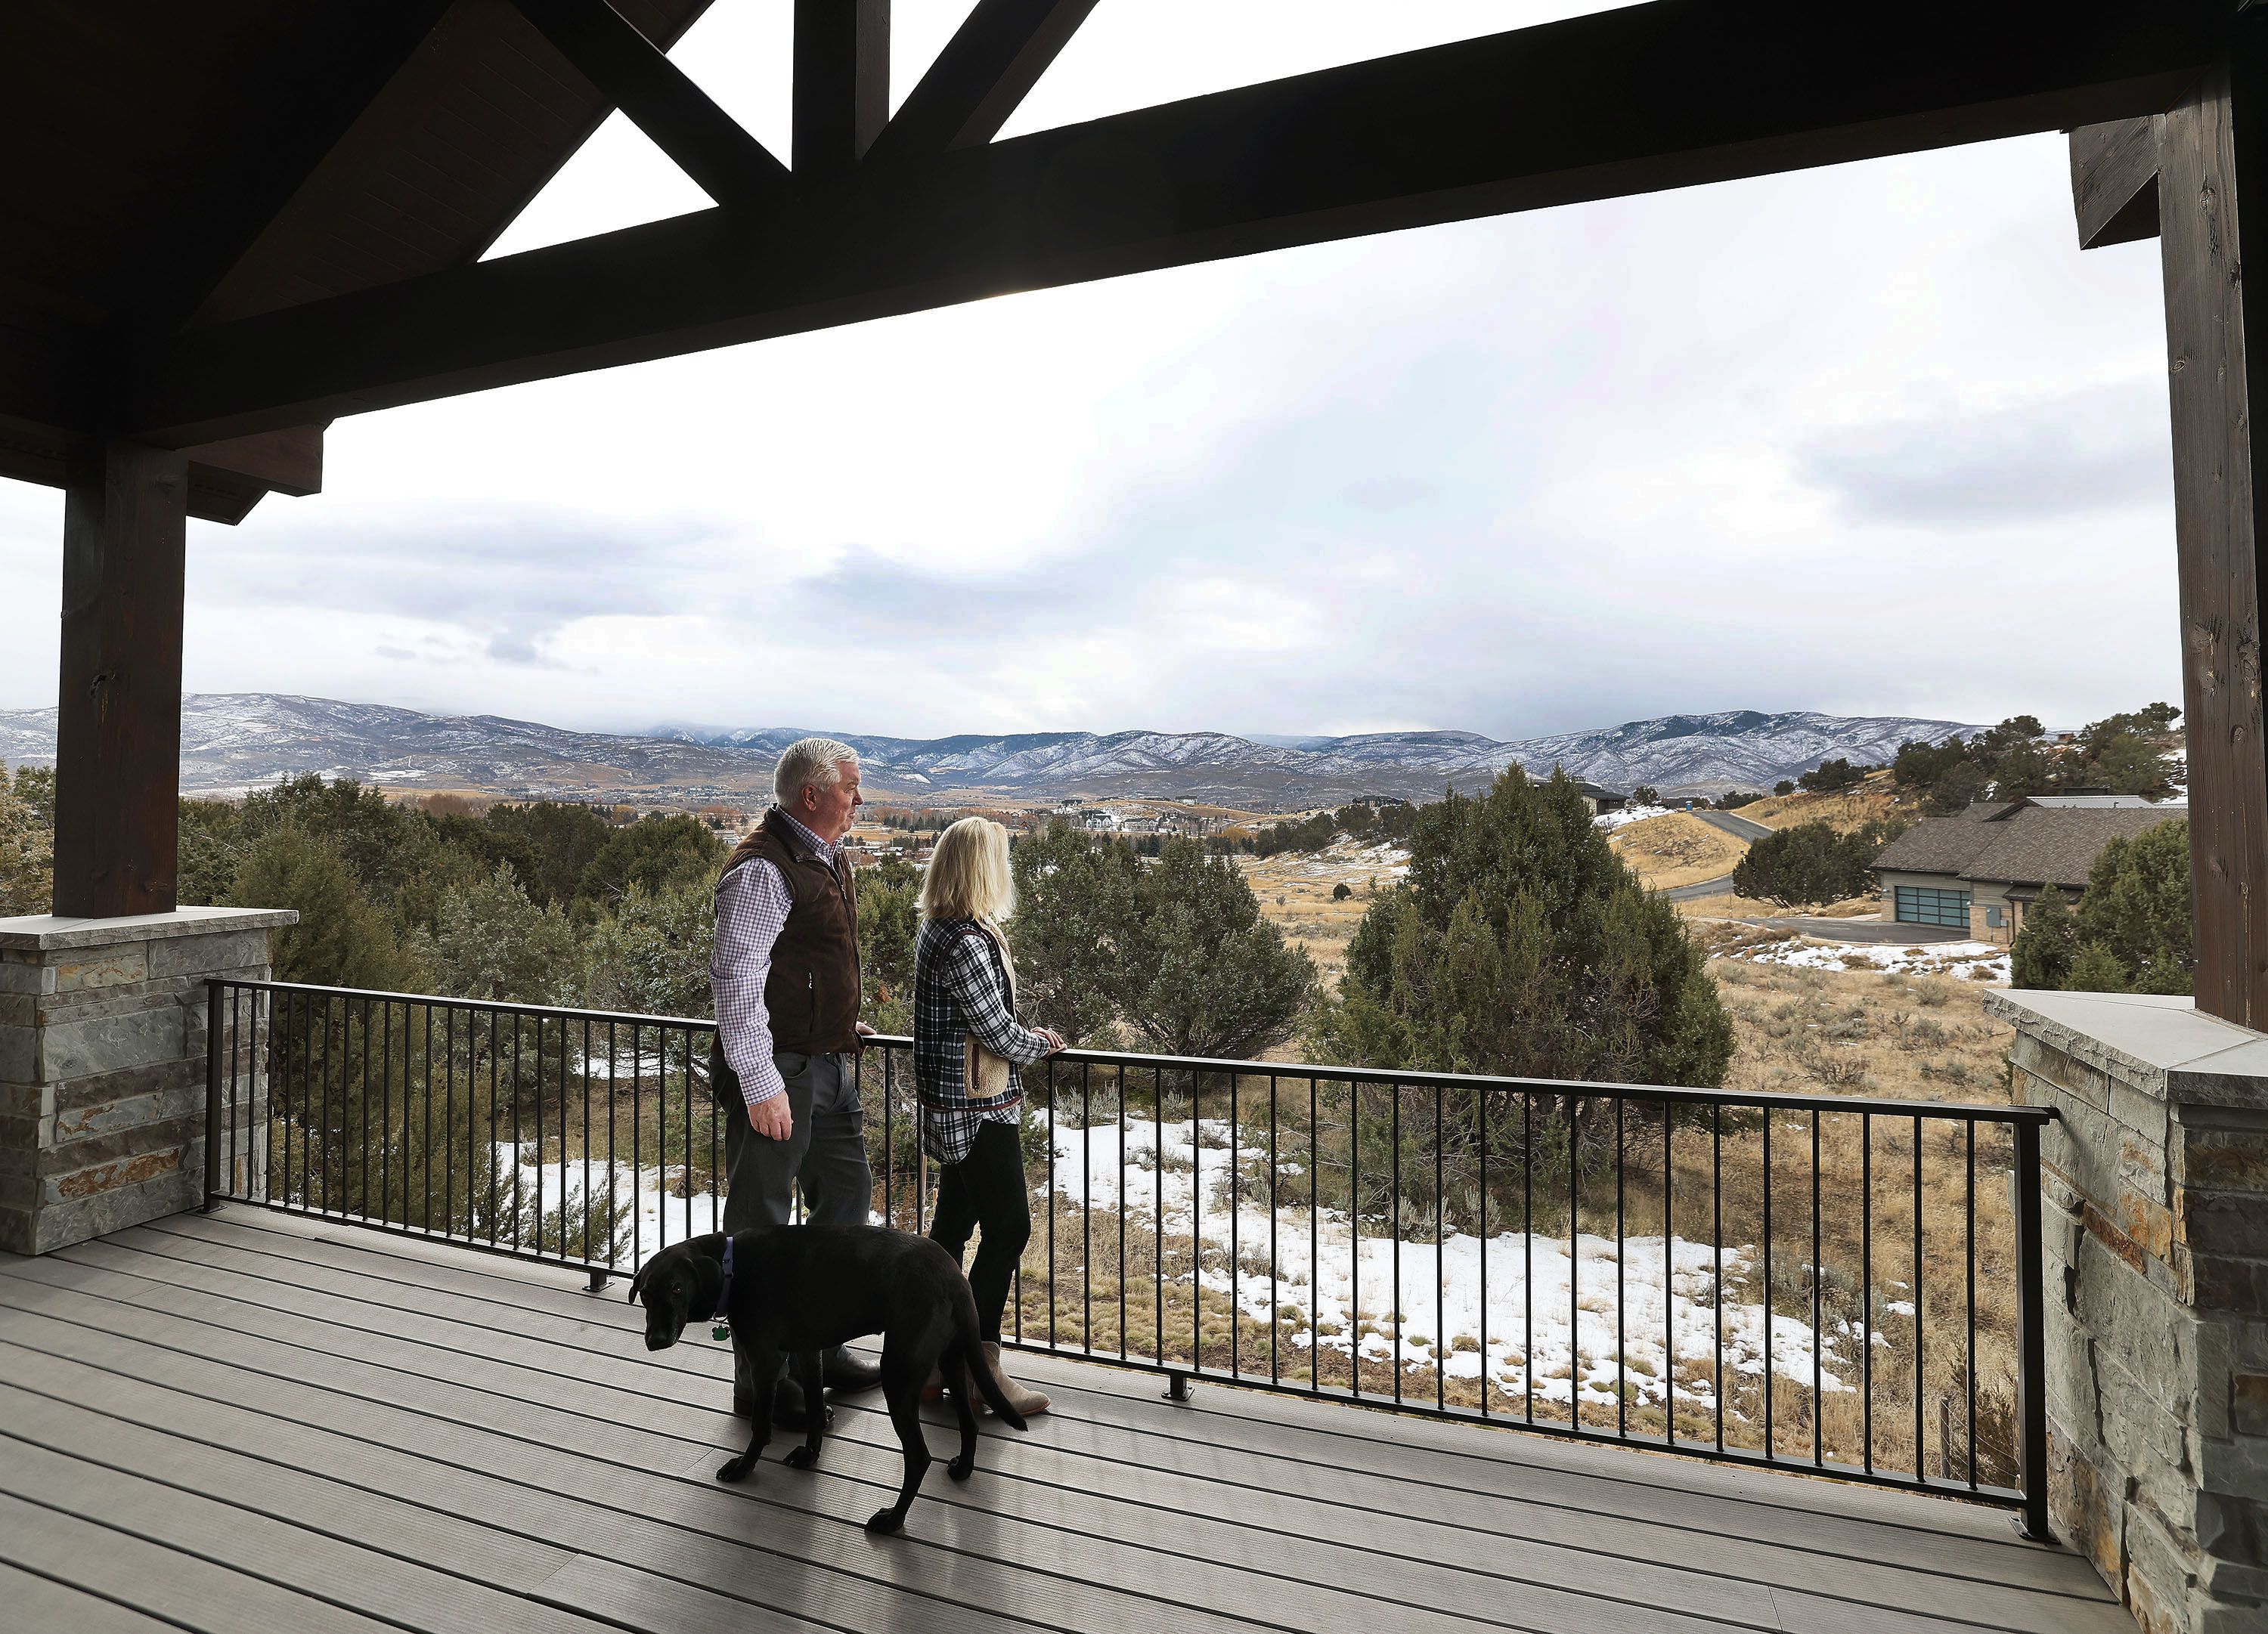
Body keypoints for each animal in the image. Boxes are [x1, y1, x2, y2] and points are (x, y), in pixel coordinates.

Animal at [635, 1224, 1034, 1532]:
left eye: (677, 1289)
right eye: (646, 1293)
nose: (655, 1340)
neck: (734, 1267)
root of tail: (953, 1276)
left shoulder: (765, 1361)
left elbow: (760, 1426)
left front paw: (743, 1467)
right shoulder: (808, 1352)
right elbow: (814, 1409)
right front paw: (810, 1454)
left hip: (899, 1374)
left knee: (919, 1456)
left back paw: (893, 1521)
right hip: (951, 1360)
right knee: (969, 1423)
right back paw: (963, 1468)